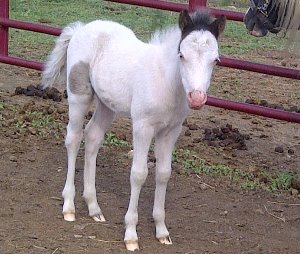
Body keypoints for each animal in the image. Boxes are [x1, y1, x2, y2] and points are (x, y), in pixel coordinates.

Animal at [41, 9, 225, 250]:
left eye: (215, 60)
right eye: (182, 55)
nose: (197, 98)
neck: (165, 82)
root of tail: (81, 28)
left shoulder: (171, 131)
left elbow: (163, 174)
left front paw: (162, 231)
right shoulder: (142, 126)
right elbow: (139, 174)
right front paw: (131, 234)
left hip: (106, 104)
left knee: (92, 137)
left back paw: (94, 207)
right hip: (78, 95)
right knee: (73, 139)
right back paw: (69, 206)